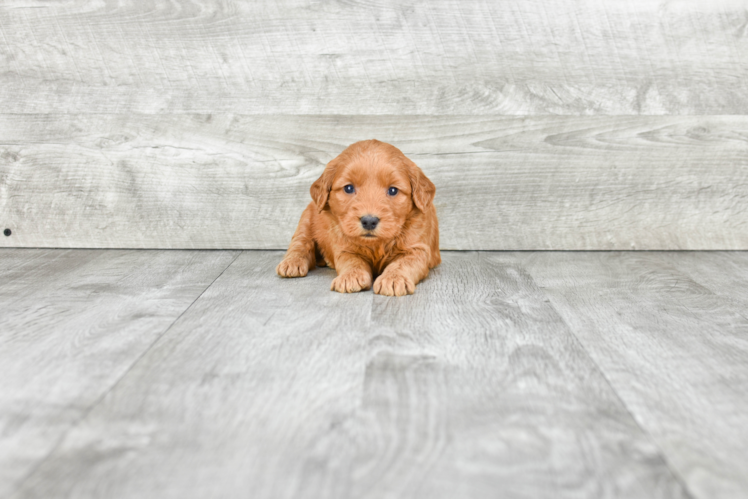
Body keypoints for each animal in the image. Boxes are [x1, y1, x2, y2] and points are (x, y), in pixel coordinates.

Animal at [274, 139, 438, 294]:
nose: (369, 221)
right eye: (348, 188)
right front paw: (350, 276)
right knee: (300, 242)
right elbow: (352, 261)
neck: (376, 245)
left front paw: (393, 279)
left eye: (393, 190)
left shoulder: (417, 248)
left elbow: (403, 263)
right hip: (307, 218)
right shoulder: (344, 248)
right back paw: (292, 262)